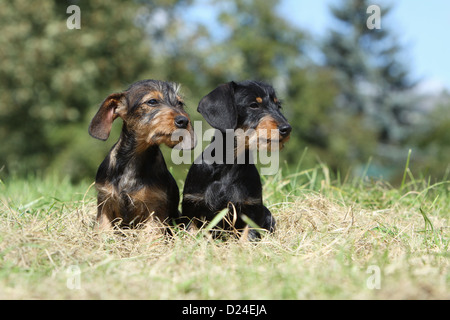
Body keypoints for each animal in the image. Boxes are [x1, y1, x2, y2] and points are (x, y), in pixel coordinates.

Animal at [89, 80, 195, 230]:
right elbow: (103, 228)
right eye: (152, 101)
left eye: (180, 103)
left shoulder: (155, 208)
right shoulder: (105, 201)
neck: (135, 157)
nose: (184, 121)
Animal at [182, 81, 292, 239]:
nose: (287, 129)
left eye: (278, 106)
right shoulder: (191, 210)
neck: (228, 164)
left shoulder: (252, 211)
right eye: (253, 105)